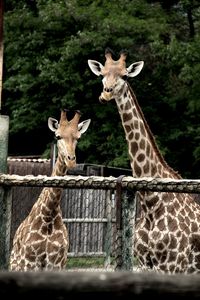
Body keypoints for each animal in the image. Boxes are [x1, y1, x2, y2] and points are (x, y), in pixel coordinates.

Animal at [9, 110, 90, 272]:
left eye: (78, 138)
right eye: (58, 136)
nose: (71, 160)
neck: (48, 216)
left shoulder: (57, 263)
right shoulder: (30, 262)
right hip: (15, 266)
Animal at [88, 48, 200, 274]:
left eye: (125, 76)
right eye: (102, 74)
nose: (105, 94)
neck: (151, 203)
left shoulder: (173, 264)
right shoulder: (145, 264)